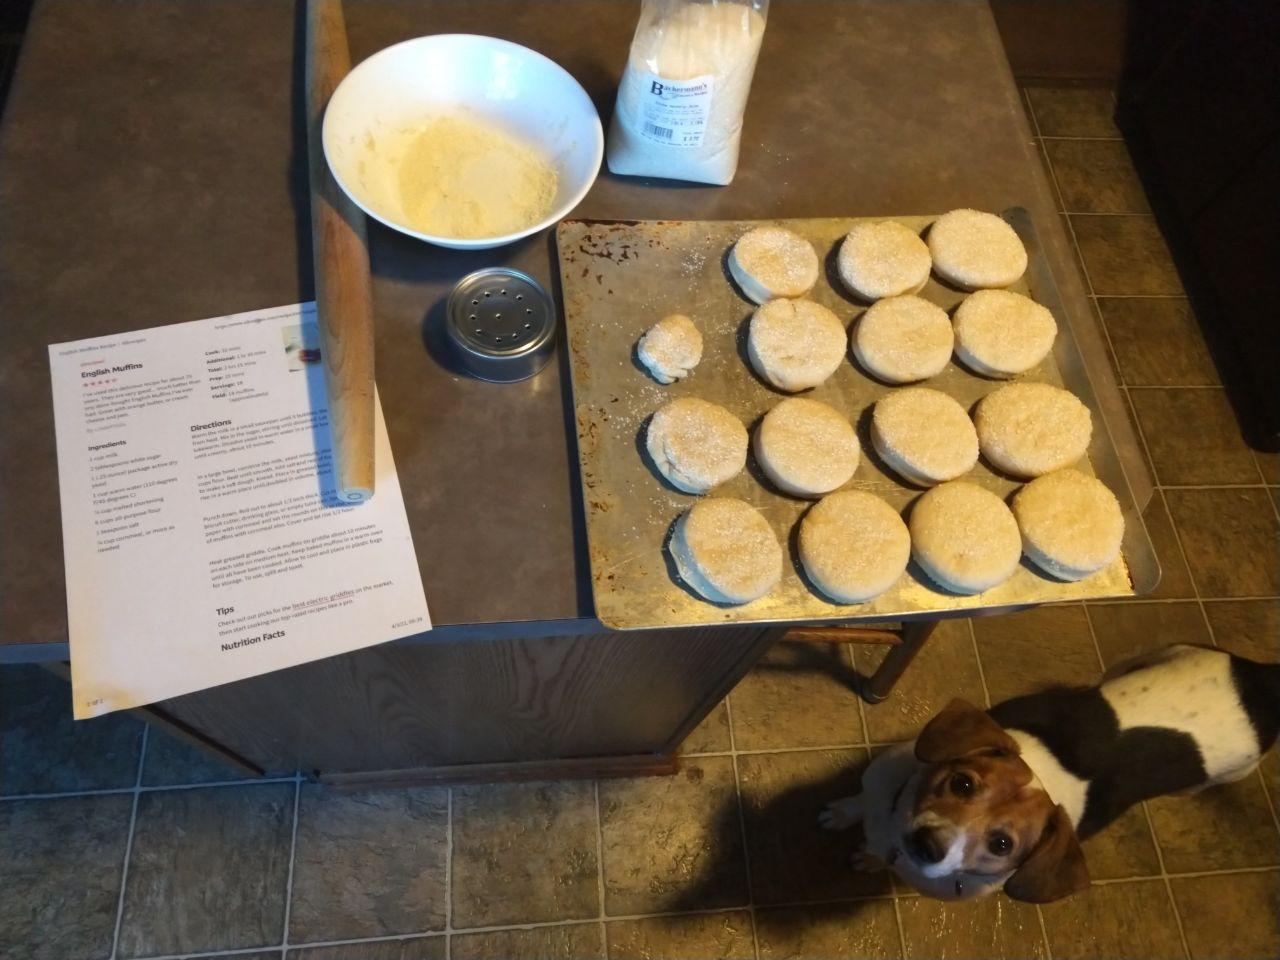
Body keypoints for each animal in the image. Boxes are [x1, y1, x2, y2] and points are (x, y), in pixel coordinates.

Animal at [819, 642, 1280, 906]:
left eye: (1002, 844)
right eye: (962, 783)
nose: (928, 844)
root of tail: (1264, 678)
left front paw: (870, 855)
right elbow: (858, 805)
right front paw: (844, 818)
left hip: (1223, 773)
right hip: (1155, 655)